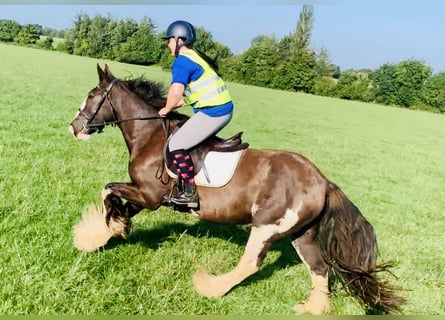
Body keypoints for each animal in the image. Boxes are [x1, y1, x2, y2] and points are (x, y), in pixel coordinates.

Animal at [67, 63, 404, 314]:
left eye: (92, 96)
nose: (74, 127)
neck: (149, 135)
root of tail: (324, 182)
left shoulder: (149, 195)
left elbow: (108, 191)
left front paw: (107, 229)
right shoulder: (143, 193)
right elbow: (118, 202)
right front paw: (100, 235)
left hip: (267, 226)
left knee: (251, 264)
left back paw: (209, 287)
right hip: (302, 234)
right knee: (321, 269)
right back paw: (312, 308)